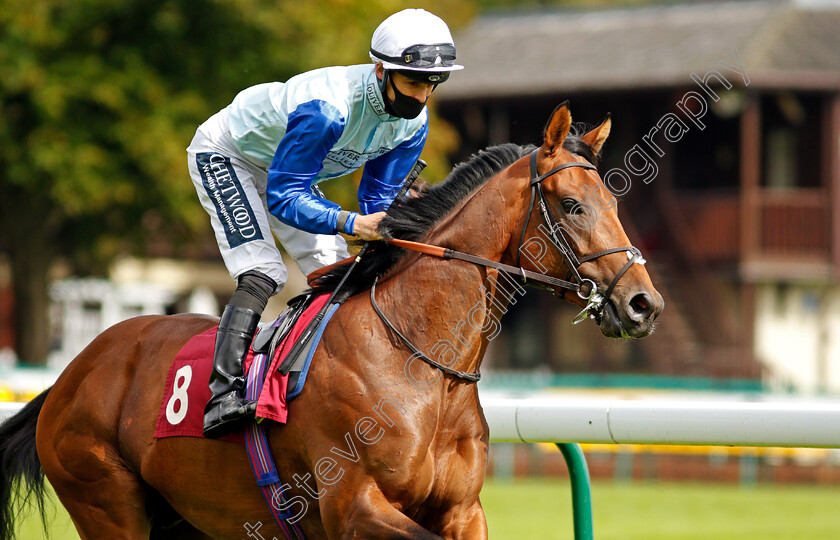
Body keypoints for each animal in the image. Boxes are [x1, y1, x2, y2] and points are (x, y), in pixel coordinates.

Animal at [1, 103, 664, 536]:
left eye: (613, 201)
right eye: (573, 206)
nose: (644, 304)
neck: (423, 366)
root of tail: (68, 376)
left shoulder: (462, 511)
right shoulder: (351, 504)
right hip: (107, 502)